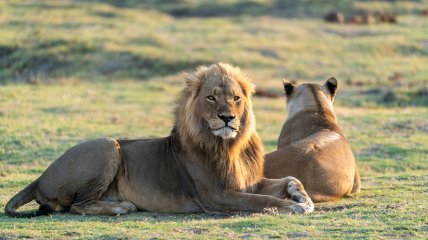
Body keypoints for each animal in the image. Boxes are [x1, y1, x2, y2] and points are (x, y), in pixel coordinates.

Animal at [5, 62, 314, 217]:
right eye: (211, 97)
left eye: (236, 98)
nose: (227, 118)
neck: (230, 145)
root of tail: (40, 176)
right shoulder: (217, 195)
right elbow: (261, 201)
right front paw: (293, 206)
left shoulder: (249, 182)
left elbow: (289, 179)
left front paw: (302, 196)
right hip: (108, 146)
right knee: (77, 206)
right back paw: (121, 206)